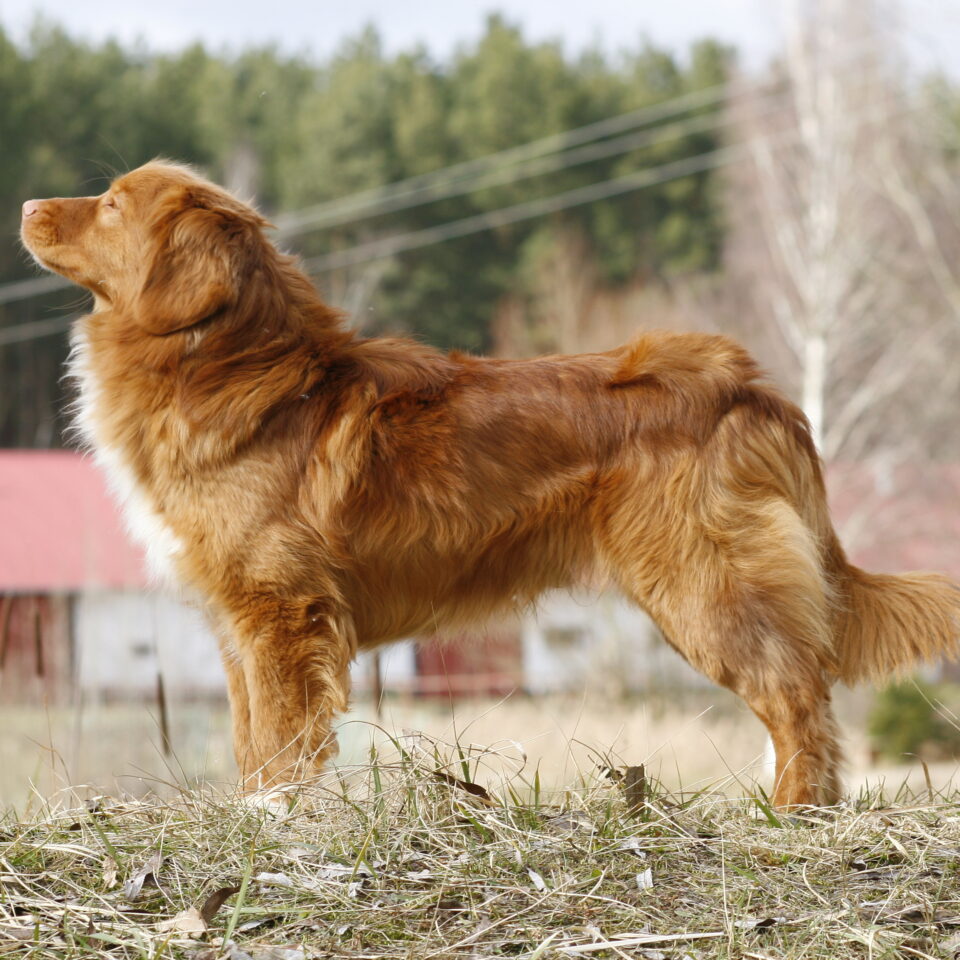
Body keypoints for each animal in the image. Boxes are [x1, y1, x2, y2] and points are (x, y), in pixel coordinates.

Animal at [20, 161, 960, 808]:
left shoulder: (280, 612)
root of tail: (750, 389)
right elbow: (253, 737)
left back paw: (791, 812)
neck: (222, 362)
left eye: (112, 203)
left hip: (708, 589)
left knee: (799, 696)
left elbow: (284, 737)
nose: (26, 206)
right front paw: (259, 812)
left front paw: (279, 816)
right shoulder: (240, 624)